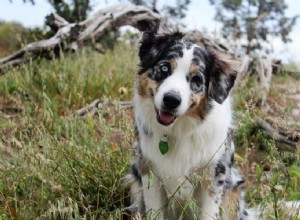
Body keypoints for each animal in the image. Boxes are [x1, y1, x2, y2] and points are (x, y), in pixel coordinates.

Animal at [125, 24, 250, 219]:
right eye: (164, 68)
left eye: (196, 79)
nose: (171, 100)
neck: (178, 129)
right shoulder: (149, 172)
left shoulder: (214, 177)